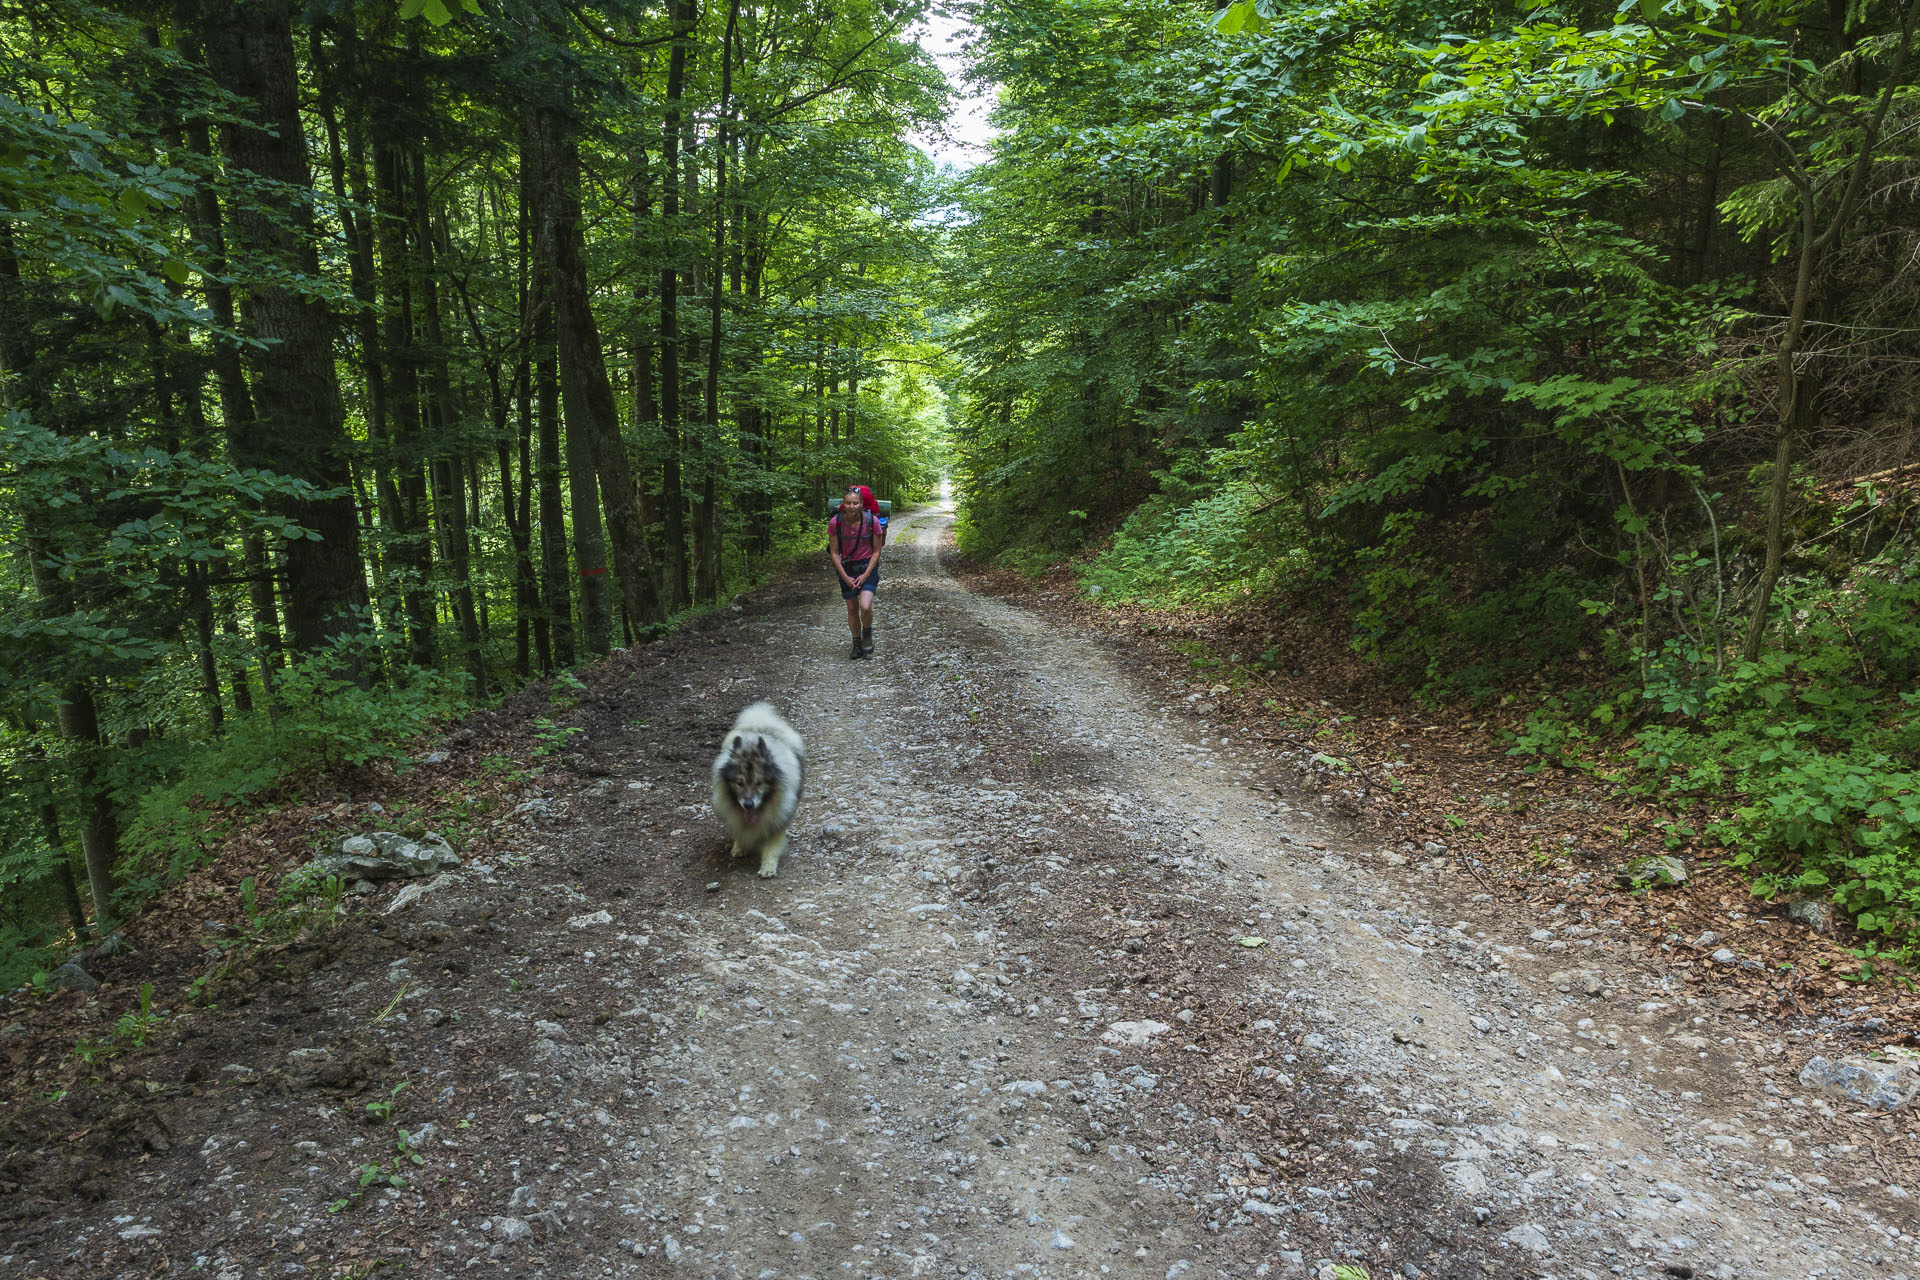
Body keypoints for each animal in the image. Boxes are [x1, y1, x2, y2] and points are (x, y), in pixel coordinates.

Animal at [710, 702, 806, 882]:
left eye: (759, 783)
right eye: (739, 783)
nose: (748, 804)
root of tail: (760, 722)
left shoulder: (777, 820)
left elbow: (772, 846)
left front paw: (768, 867)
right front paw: (739, 847)